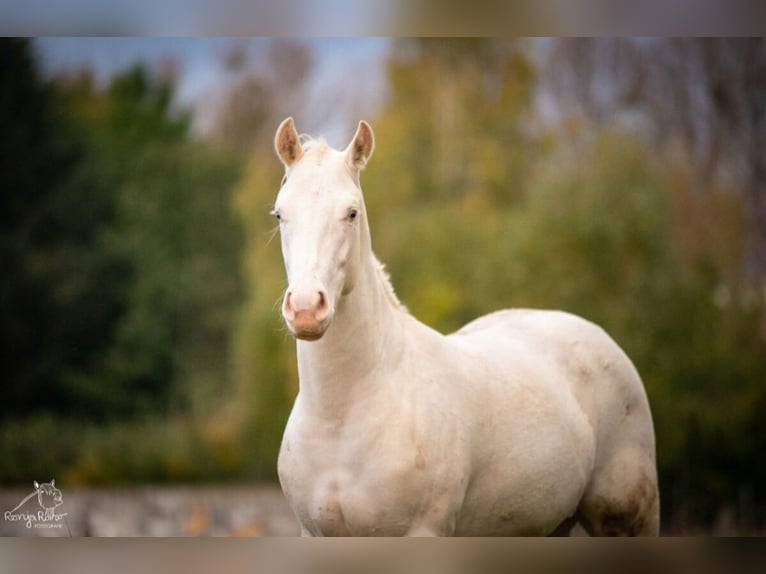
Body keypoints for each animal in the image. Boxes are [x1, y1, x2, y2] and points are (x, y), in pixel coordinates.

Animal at [272, 117, 660, 540]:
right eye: (279, 214)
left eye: (351, 213)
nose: (306, 308)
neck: (340, 419)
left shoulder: (424, 531)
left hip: (628, 519)